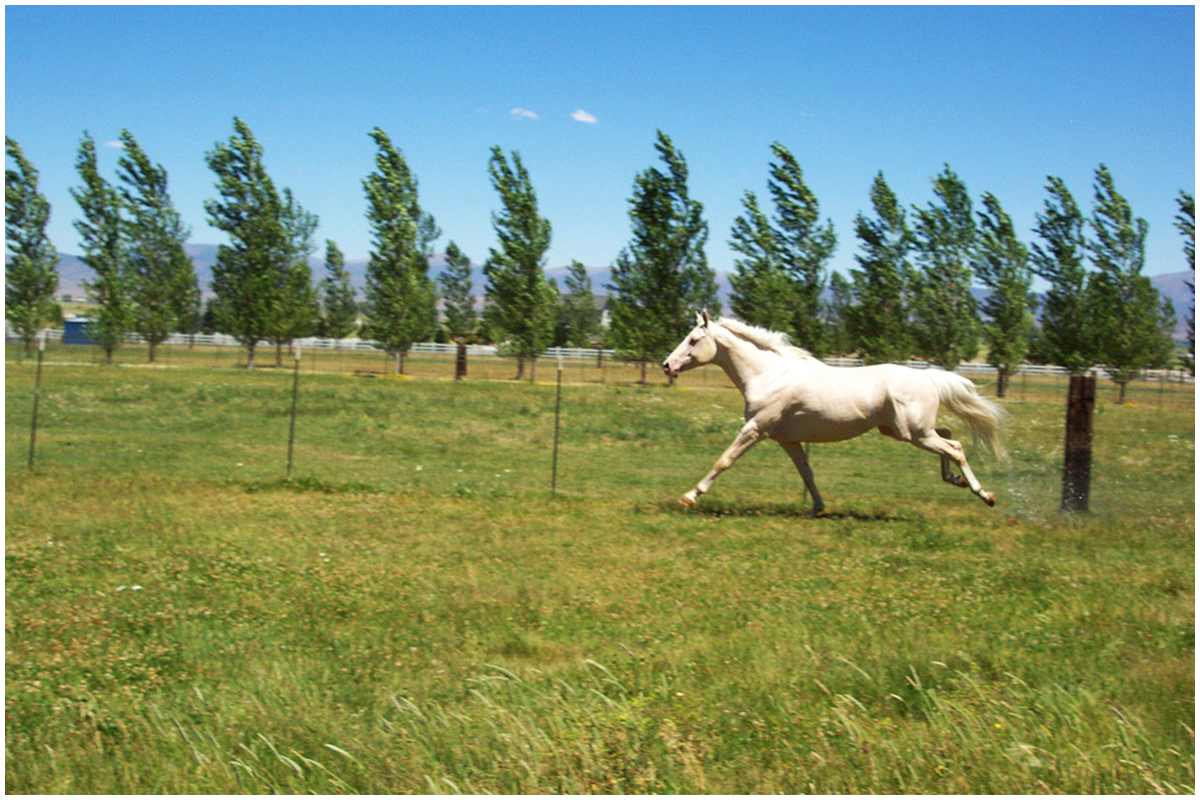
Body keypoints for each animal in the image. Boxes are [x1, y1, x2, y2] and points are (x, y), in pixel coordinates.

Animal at [661, 311, 1004, 515]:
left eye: (694, 339)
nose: (667, 365)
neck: (768, 375)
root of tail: (928, 376)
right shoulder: (786, 439)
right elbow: (806, 472)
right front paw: (818, 508)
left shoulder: (756, 429)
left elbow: (724, 461)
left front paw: (689, 496)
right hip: (905, 430)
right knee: (949, 437)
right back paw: (956, 481)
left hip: (914, 432)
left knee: (955, 447)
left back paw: (984, 494)